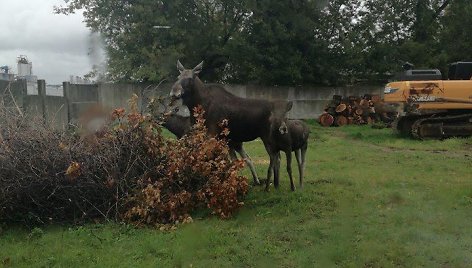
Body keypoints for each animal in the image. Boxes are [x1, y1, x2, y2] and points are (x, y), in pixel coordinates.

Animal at [170, 60, 296, 191]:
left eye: (190, 78)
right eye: (178, 77)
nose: (174, 92)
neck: (198, 104)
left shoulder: (212, 134)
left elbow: (212, 159)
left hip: (267, 138)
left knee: (275, 158)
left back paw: (271, 185)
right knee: (278, 157)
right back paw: (275, 184)